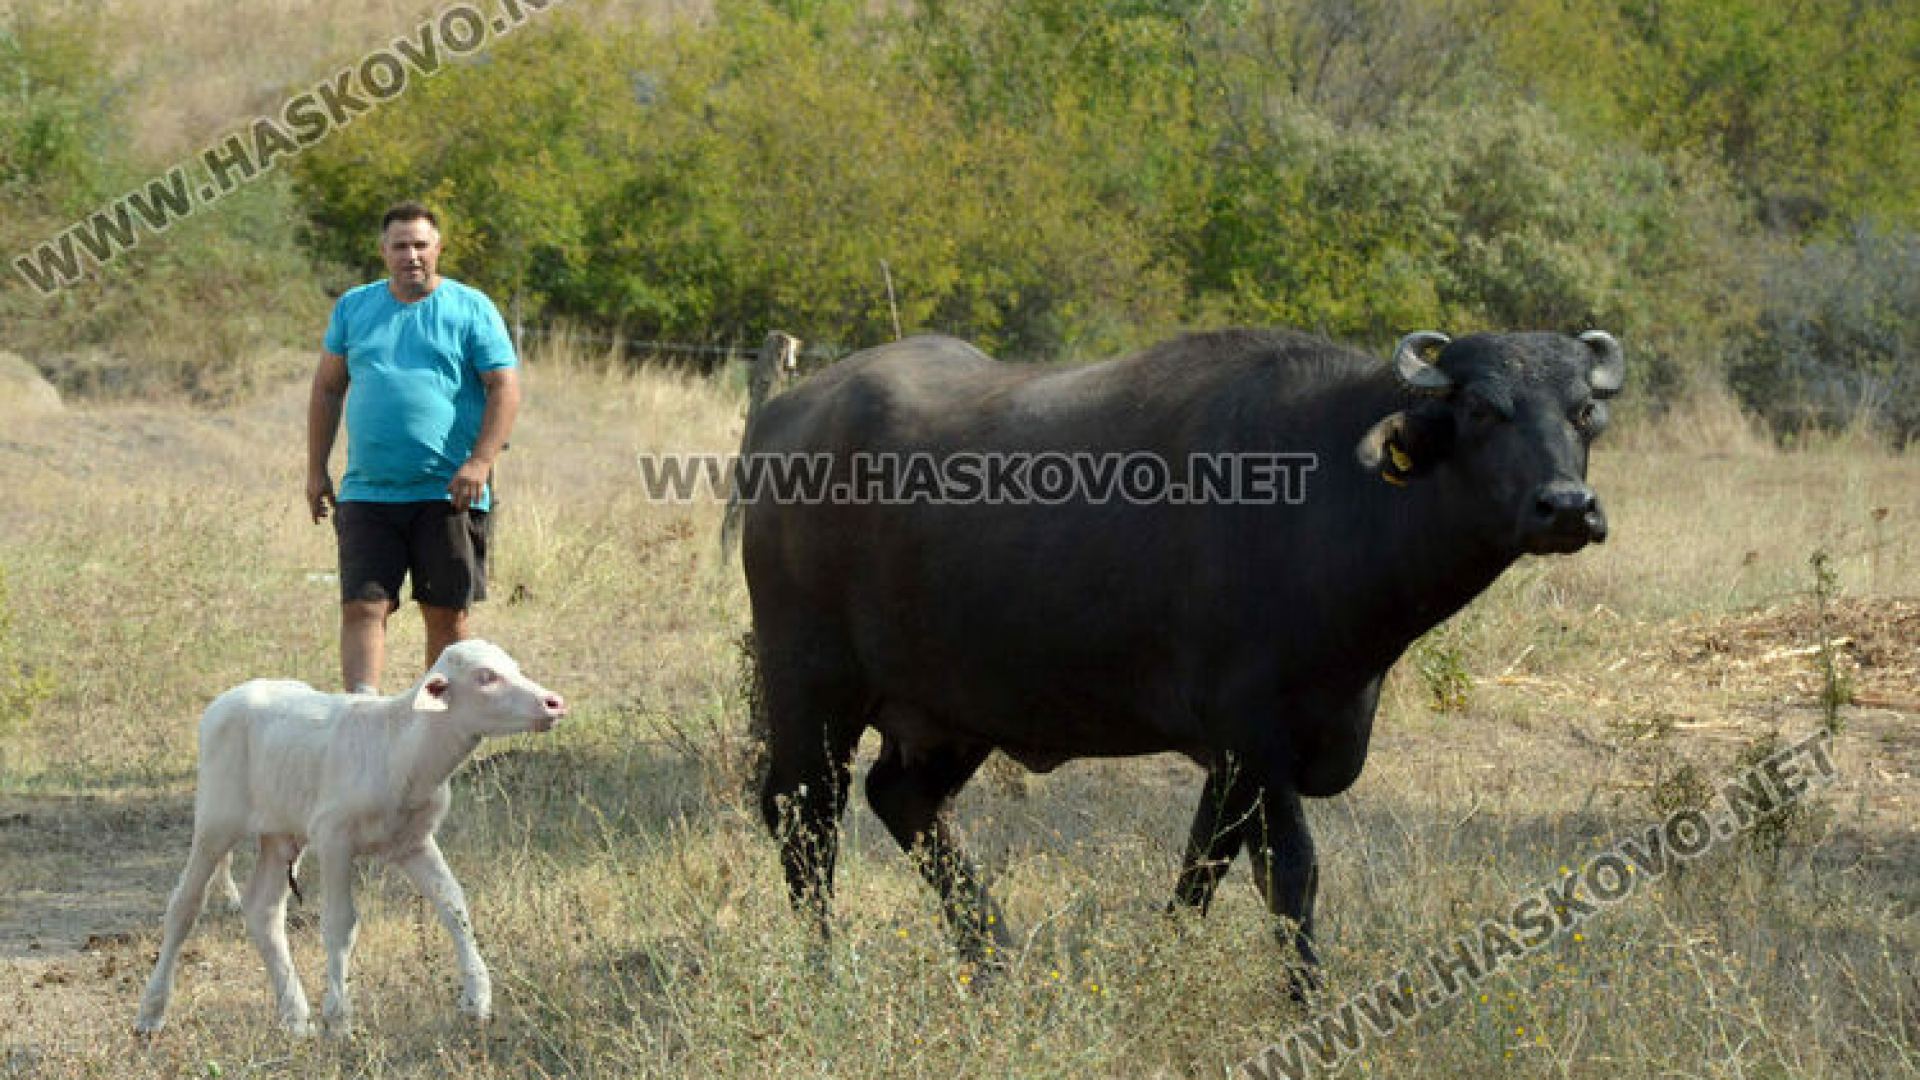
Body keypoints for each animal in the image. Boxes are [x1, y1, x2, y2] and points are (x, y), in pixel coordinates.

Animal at [135, 634, 560, 1030]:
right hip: (215, 819)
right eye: (485, 676)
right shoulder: (334, 838)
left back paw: (295, 1018)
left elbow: (454, 907)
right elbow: (340, 924)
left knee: (263, 911)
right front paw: (339, 1018)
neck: (399, 748)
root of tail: (227, 698)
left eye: (515, 667)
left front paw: (477, 1000)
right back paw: (151, 1014)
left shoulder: (413, 842)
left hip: (282, 832)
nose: (553, 703)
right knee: (184, 906)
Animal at [741, 322, 1628, 980]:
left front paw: (1163, 966)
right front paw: (1305, 999)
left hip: (951, 708)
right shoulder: (1254, 734)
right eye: (1481, 409)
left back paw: (992, 953)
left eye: (1584, 410)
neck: (1326, 496)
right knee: (804, 817)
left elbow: (1204, 866)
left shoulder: (1237, 758)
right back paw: (825, 968)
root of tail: (789, 422)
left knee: (902, 800)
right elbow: (1290, 874)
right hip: (811, 683)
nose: (1566, 507)